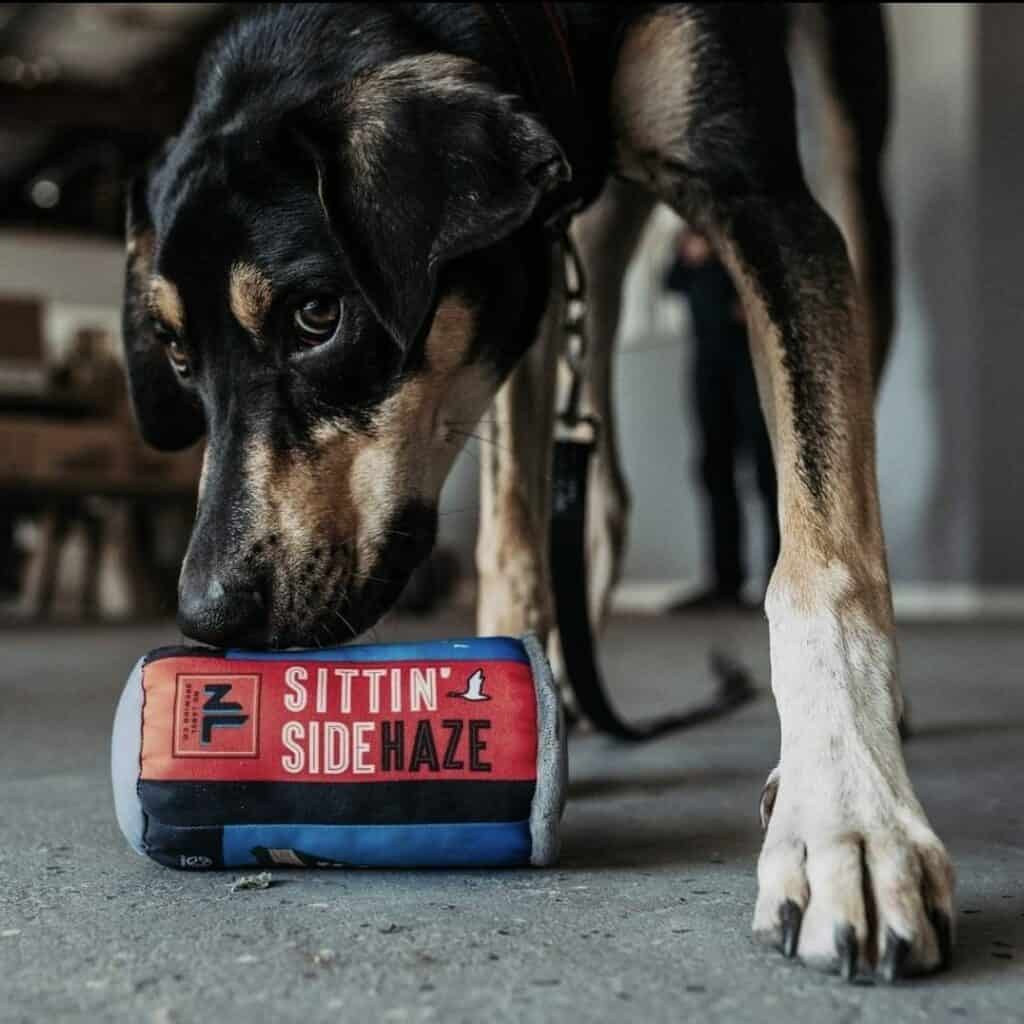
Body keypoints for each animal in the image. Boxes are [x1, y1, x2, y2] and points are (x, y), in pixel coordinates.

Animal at [119, 4, 950, 987]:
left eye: (319, 314)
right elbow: (510, 535)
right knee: (599, 490)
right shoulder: (522, 262)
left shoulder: (763, 205)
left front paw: (847, 812)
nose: (205, 614)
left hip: (848, 162)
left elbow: (823, 551)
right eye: (177, 354)